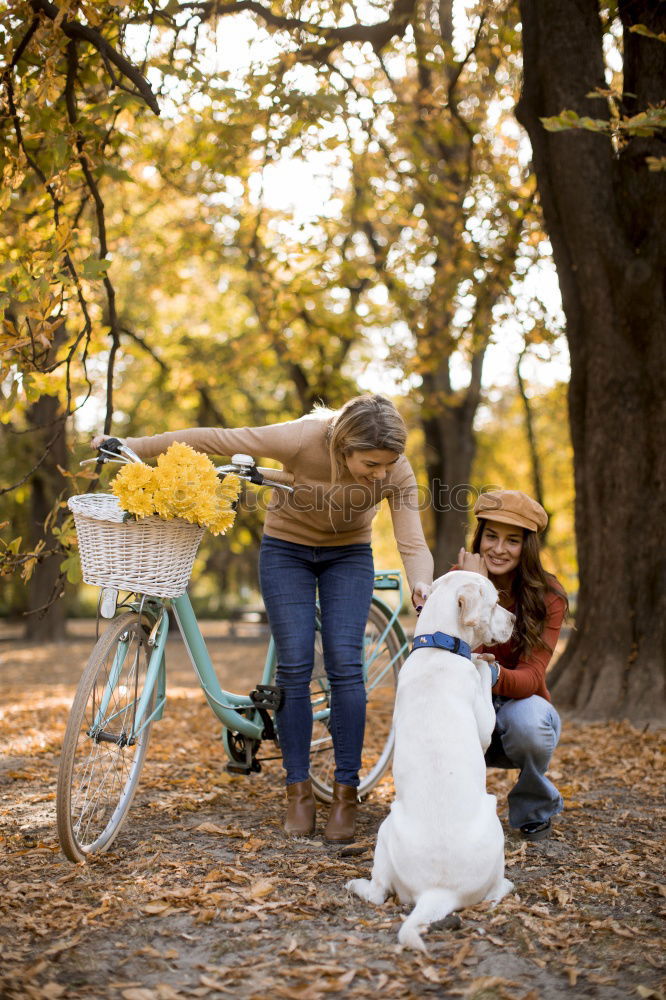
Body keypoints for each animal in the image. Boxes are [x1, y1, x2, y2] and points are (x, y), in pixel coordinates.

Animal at [344, 572, 516, 952]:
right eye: (495, 603)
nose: (514, 620)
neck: (440, 645)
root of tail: (439, 893)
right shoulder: (483, 723)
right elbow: (482, 675)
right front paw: (484, 662)